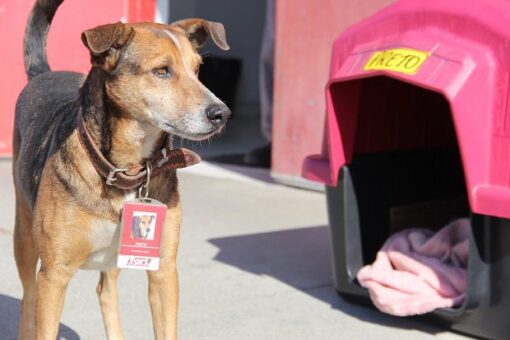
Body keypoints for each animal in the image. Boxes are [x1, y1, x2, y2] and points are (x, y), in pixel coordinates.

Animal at [12, 0, 231, 340]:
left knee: (106, 291)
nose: (221, 113)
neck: (126, 170)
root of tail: (45, 74)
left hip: (115, 257)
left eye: (197, 70)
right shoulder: (53, 275)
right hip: (23, 238)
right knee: (28, 299)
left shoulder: (164, 271)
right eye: (161, 71)